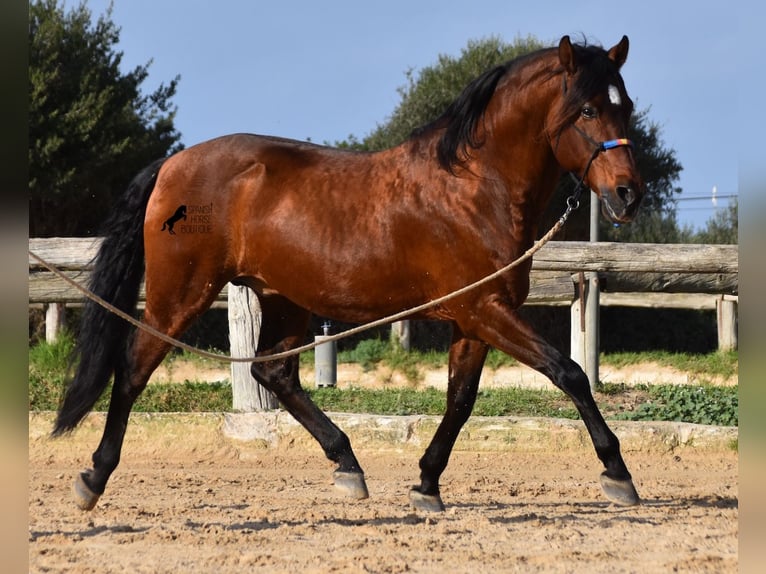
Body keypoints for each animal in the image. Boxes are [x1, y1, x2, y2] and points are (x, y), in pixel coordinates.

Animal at [52, 35, 648, 512]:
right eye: (588, 110)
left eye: (627, 108)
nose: (628, 195)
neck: (475, 188)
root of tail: (171, 165)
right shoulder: (485, 311)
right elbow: (569, 372)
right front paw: (618, 474)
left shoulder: (474, 319)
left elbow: (460, 401)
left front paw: (427, 484)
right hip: (179, 296)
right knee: (133, 370)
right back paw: (94, 476)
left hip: (282, 298)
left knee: (274, 373)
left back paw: (348, 465)